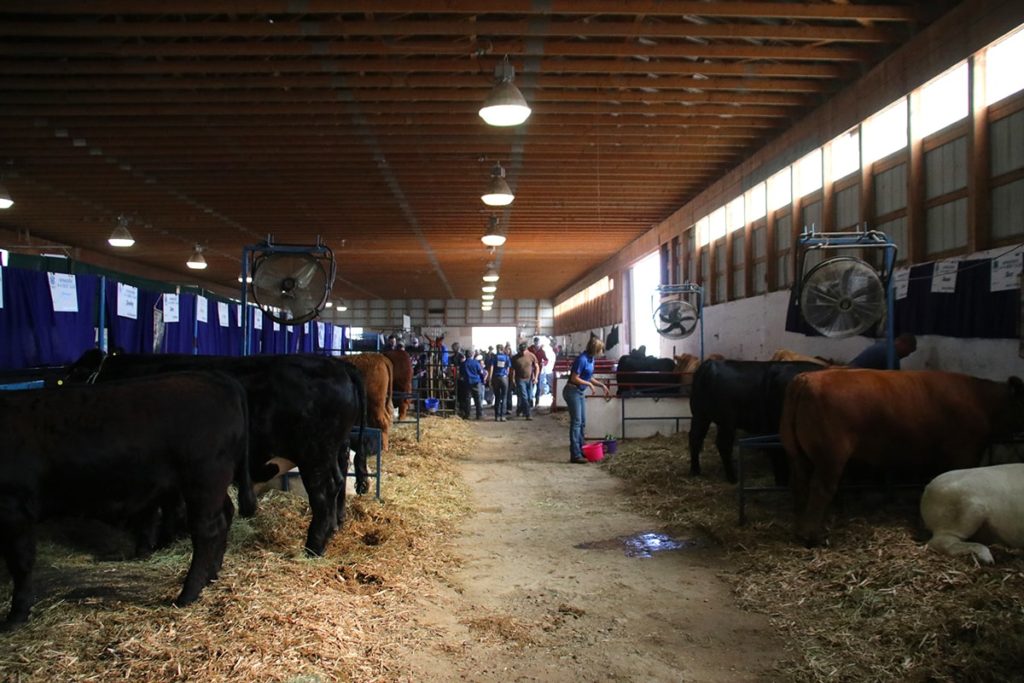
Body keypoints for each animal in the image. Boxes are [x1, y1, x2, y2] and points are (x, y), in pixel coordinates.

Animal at [0, 372, 250, 627]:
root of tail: (214, 377)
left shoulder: (13, 508)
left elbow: (20, 562)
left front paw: (17, 614)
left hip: (204, 480)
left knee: (206, 531)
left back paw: (188, 593)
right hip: (212, 484)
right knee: (225, 515)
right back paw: (211, 575)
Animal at [67, 351, 367, 557]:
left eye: (71, 376)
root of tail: (337, 365)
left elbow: (156, 509)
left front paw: (149, 545)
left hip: (314, 454)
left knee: (323, 492)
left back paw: (313, 546)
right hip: (330, 451)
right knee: (338, 483)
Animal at [688, 359, 827, 483]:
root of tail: (710, 364)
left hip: (700, 415)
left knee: (695, 438)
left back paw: (695, 470)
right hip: (726, 421)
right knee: (723, 444)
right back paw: (733, 477)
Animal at [781, 369, 1024, 547]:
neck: (982, 400)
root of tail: (807, 378)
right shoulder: (965, 452)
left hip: (797, 454)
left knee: (799, 484)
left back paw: (799, 528)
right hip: (830, 457)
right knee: (820, 489)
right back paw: (812, 537)